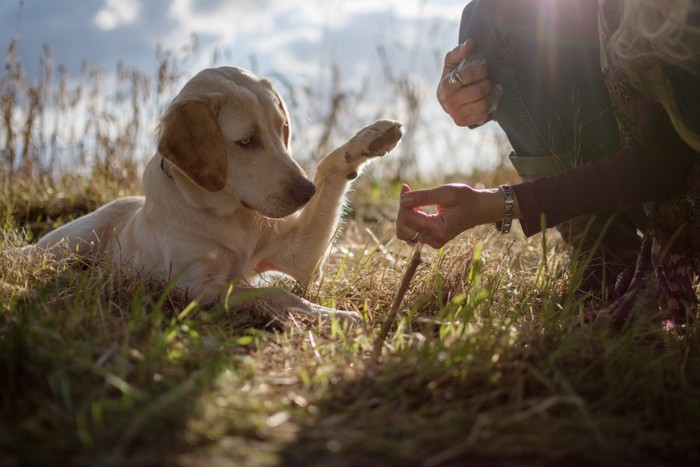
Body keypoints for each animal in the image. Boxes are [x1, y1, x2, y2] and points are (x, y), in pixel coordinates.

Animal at [27, 66, 402, 320]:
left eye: (283, 131)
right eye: (247, 141)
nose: (306, 193)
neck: (233, 217)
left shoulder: (301, 254)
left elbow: (328, 168)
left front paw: (369, 139)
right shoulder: (195, 286)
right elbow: (277, 293)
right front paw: (333, 315)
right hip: (71, 242)